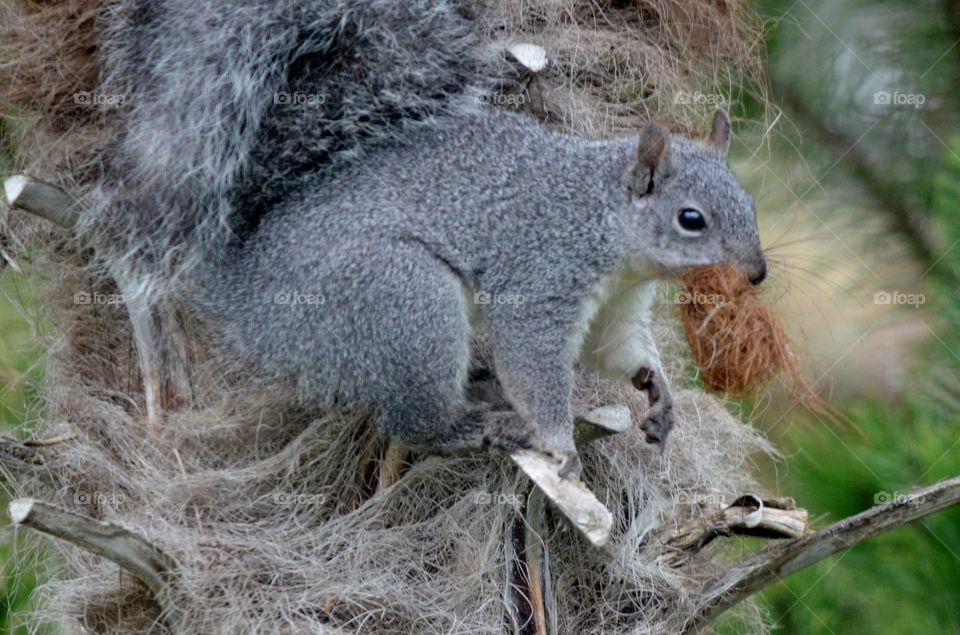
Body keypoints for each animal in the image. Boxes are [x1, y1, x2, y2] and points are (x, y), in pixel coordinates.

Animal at [70, 1, 766, 476]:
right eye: (692, 219)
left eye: (750, 204)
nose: (757, 273)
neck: (602, 220)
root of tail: (242, 284)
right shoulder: (544, 271)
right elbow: (533, 359)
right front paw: (559, 444)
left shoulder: (617, 301)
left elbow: (613, 348)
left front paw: (658, 391)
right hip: (402, 302)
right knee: (413, 420)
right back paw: (471, 429)